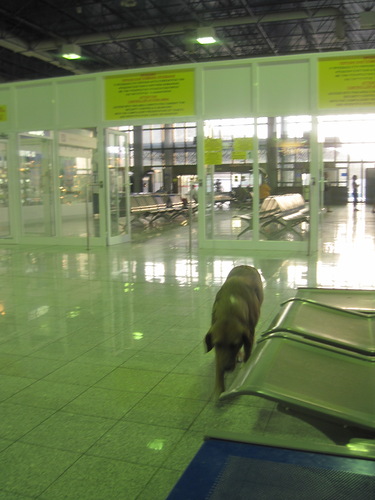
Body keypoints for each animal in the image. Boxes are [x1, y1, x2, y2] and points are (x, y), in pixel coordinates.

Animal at [204, 266, 262, 394]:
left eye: (235, 345)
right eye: (217, 344)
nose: (226, 368)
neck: (229, 311)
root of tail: (245, 265)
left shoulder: (249, 335)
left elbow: (247, 352)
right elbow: (218, 364)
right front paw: (219, 388)